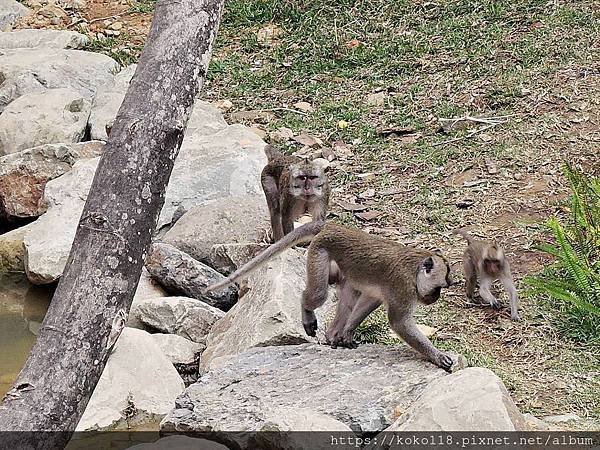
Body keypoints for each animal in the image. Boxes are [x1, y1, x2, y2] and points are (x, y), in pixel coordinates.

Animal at [205, 221, 454, 372]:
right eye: (438, 288)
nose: (435, 298)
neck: (415, 269)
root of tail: (332, 225)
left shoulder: (390, 289)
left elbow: (370, 300)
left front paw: (347, 332)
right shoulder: (402, 287)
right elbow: (399, 322)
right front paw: (436, 355)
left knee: (349, 293)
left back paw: (334, 334)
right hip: (319, 253)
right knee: (317, 294)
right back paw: (307, 311)